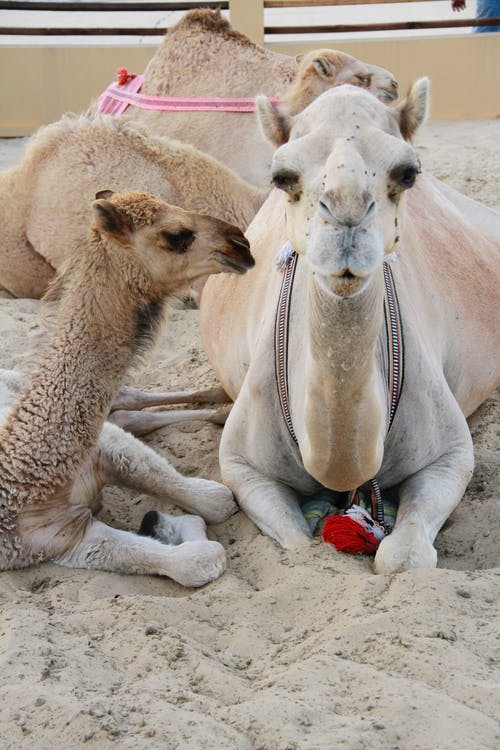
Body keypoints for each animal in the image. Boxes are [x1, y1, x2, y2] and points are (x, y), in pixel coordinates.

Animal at [0, 189, 256, 588]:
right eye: (176, 235)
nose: (241, 243)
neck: (29, 477)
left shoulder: (103, 445)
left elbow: (211, 498)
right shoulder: (58, 541)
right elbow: (198, 552)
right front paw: (170, 527)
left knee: (129, 403)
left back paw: (219, 402)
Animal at [199, 83, 500, 576]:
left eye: (408, 172)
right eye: (281, 176)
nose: (346, 216)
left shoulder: (451, 456)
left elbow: (404, 556)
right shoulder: (242, 466)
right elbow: (298, 546)